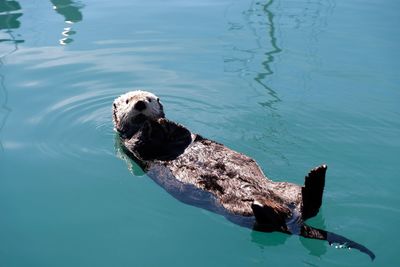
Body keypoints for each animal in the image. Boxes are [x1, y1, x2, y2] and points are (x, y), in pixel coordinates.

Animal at [111, 91, 376, 260]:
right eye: (127, 100)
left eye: (149, 98)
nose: (140, 105)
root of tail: (295, 221)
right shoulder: (133, 147)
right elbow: (139, 141)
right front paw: (149, 125)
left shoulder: (183, 136)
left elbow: (182, 132)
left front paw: (162, 121)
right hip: (236, 210)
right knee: (272, 223)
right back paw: (271, 203)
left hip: (285, 188)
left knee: (307, 207)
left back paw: (315, 177)